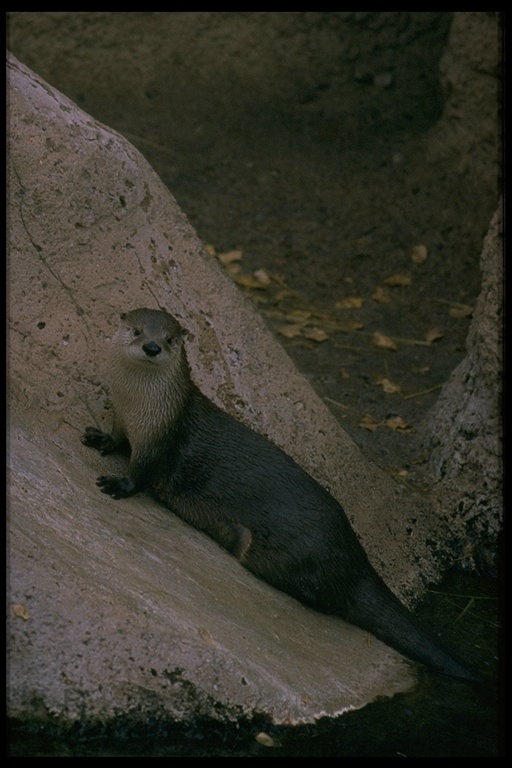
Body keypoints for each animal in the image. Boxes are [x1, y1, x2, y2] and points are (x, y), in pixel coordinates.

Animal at [82, 306, 478, 680]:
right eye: (136, 330)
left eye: (168, 339)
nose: (151, 347)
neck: (139, 411)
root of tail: (355, 558)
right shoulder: (123, 419)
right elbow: (116, 439)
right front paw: (100, 439)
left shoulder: (159, 445)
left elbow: (141, 474)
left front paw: (117, 485)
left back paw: (233, 536)